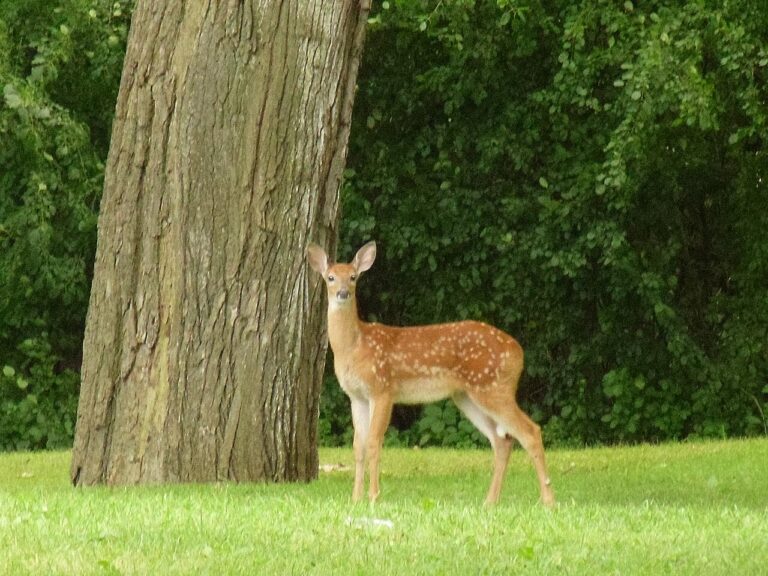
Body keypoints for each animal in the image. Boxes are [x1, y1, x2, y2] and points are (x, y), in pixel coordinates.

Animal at [307, 241, 555, 507]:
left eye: (353, 277)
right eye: (331, 277)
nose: (343, 293)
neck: (354, 347)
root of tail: (518, 352)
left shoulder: (383, 388)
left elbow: (373, 442)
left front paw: (373, 497)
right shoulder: (356, 397)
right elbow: (358, 447)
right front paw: (355, 499)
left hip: (493, 387)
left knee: (530, 432)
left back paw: (548, 501)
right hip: (467, 396)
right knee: (502, 441)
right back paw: (490, 502)